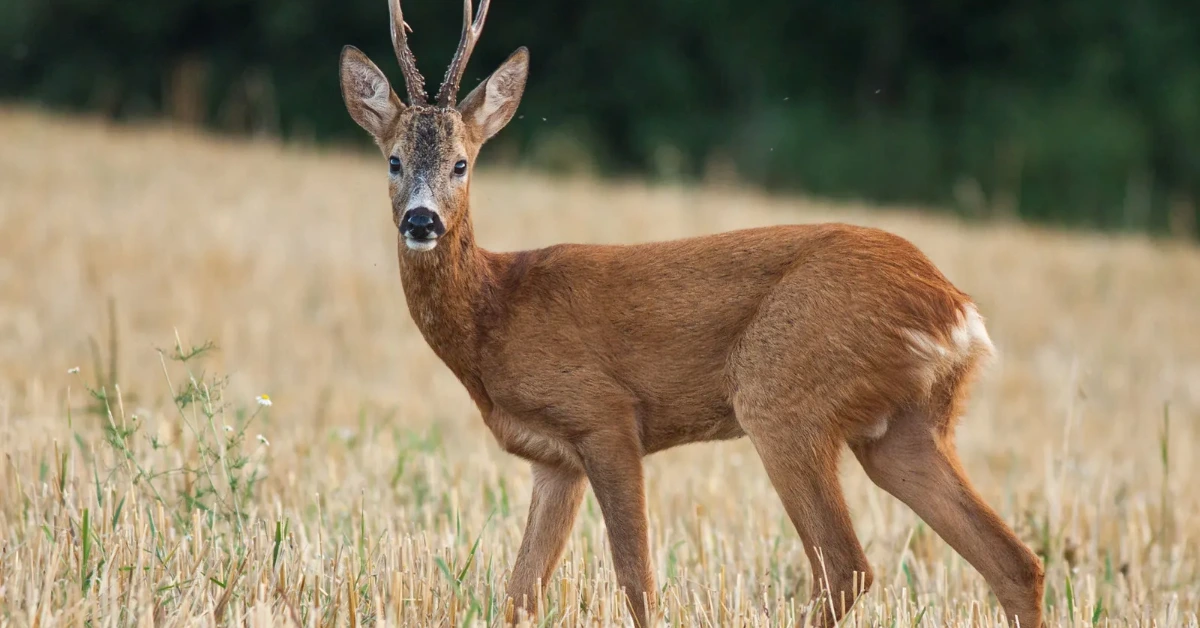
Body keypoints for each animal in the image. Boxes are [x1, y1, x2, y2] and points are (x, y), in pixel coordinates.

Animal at [336, 1, 1041, 628]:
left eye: (462, 163)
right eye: (394, 160)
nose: (421, 221)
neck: (496, 313)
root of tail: (954, 307)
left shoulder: (605, 416)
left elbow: (637, 582)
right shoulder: (553, 459)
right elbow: (521, 593)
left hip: (783, 396)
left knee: (846, 568)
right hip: (904, 428)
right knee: (1015, 562)